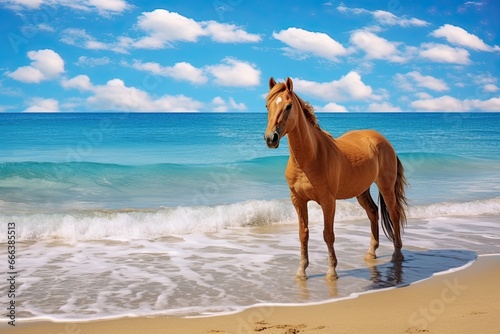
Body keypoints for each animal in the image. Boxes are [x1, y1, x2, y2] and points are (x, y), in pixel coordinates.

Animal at [264, 77, 408, 280]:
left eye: (288, 106)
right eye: (267, 105)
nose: (271, 138)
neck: (309, 158)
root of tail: (384, 142)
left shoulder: (328, 201)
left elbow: (328, 234)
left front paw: (331, 272)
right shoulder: (298, 200)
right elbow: (303, 234)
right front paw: (301, 271)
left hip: (385, 186)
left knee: (394, 214)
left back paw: (397, 254)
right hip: (361, 190)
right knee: (373, 212)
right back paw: (371, 252)